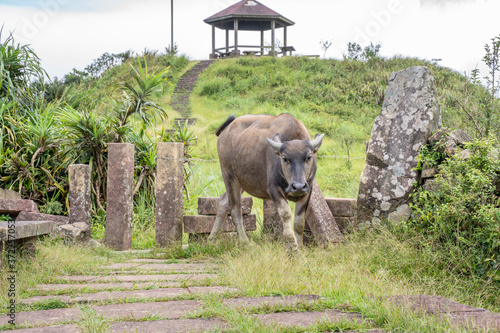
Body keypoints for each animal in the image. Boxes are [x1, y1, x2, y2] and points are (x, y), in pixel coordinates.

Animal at [208, 114, 322, 249]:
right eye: (285, 158)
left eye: (309, 157)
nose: (298, 186)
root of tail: (226, 130)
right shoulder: (273, 189)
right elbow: (286, 213)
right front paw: (292, 246)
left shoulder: (308, 189)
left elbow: (299, 222)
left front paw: (300, 246)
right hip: (229, 176)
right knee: (235, 208)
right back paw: (245, 242)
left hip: (242, 182)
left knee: (224, 202)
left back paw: (212, 239)